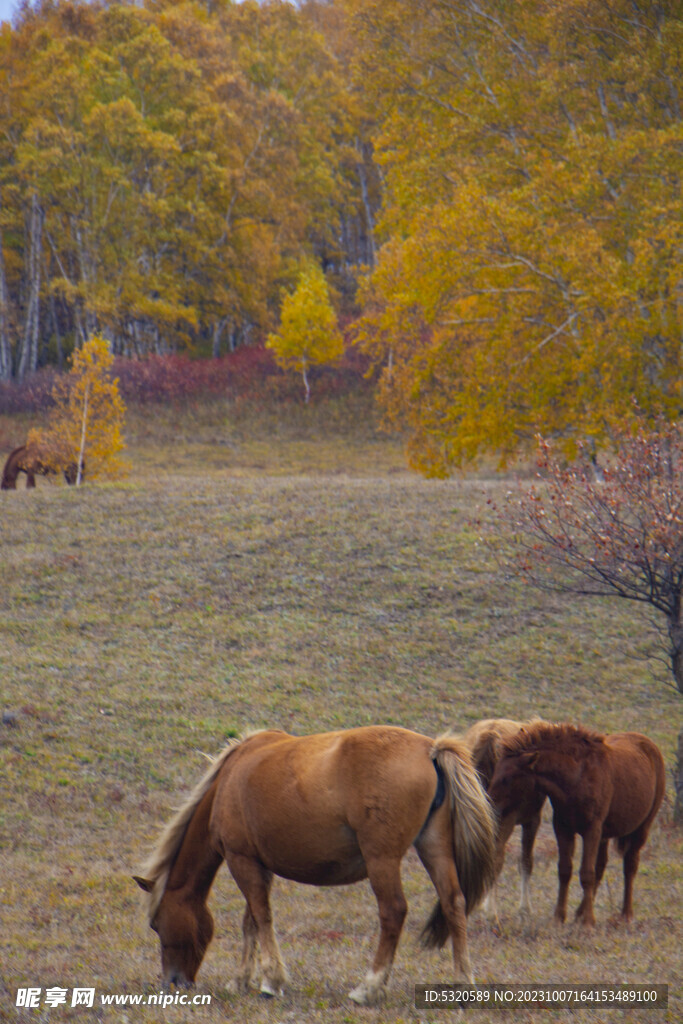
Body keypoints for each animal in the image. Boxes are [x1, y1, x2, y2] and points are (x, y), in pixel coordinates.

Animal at [133, 724, 497, 1003]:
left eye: (157, 924)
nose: (172, 982)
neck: (230, 778)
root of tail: (430, 750)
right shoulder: (258, 864)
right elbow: (251, 921)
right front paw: (242, 980)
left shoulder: (242, 860)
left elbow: (261, 918)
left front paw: (270, 982)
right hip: (434, 848)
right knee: (453, 903)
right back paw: (462, 983)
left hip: (382, 860)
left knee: (393, 911)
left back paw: (368, 987)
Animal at [489, 720, 663, 929]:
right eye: (495, 771)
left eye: (507, 778)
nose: (490, 804)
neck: (576, 779)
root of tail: (650, 745)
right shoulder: (563, 828)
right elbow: (566, 870)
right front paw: (560, 916)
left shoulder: (591, 829)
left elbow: (586, 873)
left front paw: (588, 921)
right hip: (605, 835)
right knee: (602, 866)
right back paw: (580, 912)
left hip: (641, 828)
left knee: (630, 866)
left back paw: (626, 914)